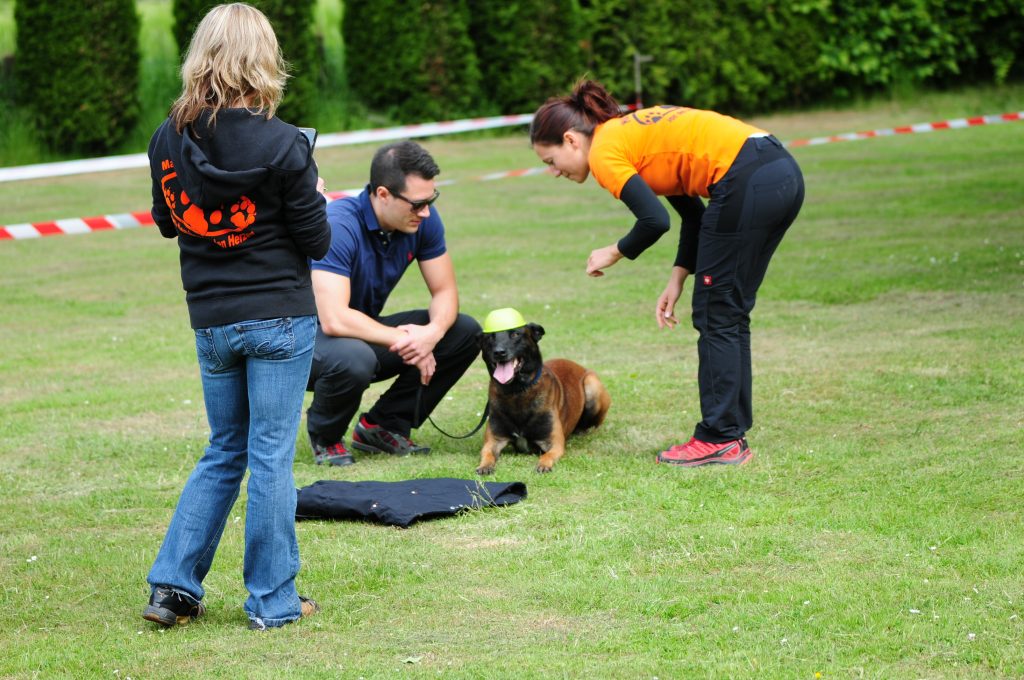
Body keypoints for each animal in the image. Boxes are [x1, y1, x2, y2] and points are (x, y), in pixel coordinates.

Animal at [473, 307, 606, 473]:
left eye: (515, 334)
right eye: (490, 338)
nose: (499, 352)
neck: (517, 391)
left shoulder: (554, 444)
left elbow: (547, 456)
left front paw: (543, 465)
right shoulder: (493, 441)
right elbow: (487, 453)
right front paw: (484, 466)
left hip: (592, 385)